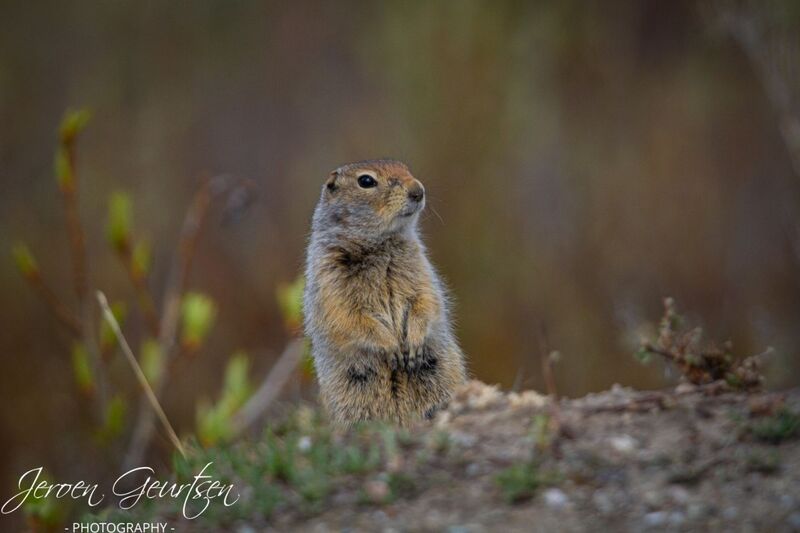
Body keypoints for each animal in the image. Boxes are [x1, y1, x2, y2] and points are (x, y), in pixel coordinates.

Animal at [303, 159, 467, 427]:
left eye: (406, 168)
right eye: (366, 181)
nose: (418, 190)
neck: (380, 244)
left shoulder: (421, 269)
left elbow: (426, 300)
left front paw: (413, 342)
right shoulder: (329, 280)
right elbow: (349, 316)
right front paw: (391, 346)